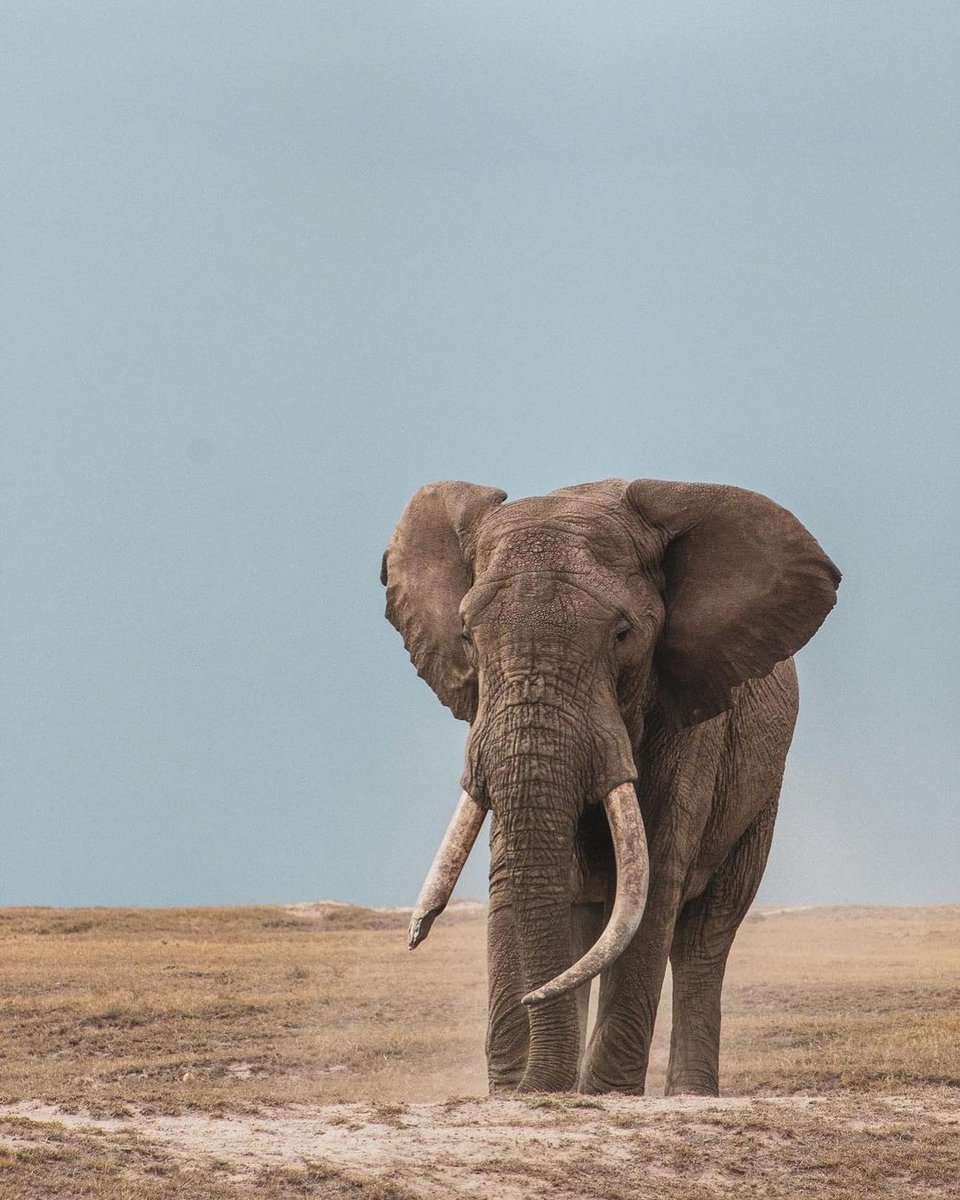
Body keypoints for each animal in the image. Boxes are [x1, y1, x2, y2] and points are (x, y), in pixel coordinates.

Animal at [381, 478, 839, 1095]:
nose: (415, 934)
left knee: (705, 935)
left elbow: (657, 877)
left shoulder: (692, 718)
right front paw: (516, 1091)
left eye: (624, 635)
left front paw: (601, 1094)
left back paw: (688, 1095)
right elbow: (513, 872)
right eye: (466, 637)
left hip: (763, 786)